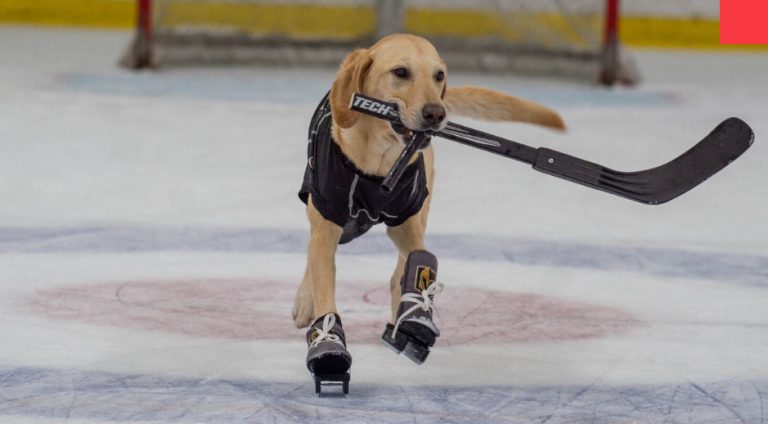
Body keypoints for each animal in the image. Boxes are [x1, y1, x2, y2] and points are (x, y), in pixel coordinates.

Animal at [292, 34, 560, 384]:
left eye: (439, 75)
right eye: (400, 72)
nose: (436, 113)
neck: (377, 163)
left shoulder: (407, 218)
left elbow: (420, 258)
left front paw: (416, 313)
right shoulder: (327, 218)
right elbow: (323, 282)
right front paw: (328, 343)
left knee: (398, 270)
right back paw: (305, 301)